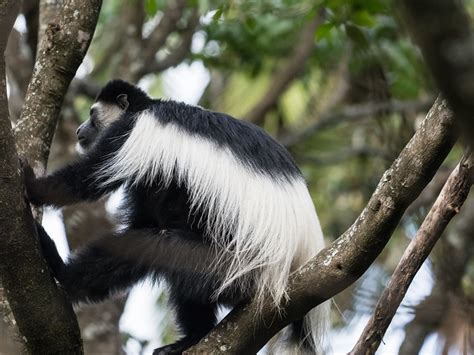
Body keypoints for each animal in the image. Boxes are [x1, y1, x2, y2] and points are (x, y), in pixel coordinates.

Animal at [24, 80, 328, 355]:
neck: (145, 108)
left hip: (234, 266)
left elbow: (86, 180)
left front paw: (30, 183)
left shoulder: (132, 134)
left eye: (92, 115)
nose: (79, 130)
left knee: (166, 247)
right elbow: (141, 222)